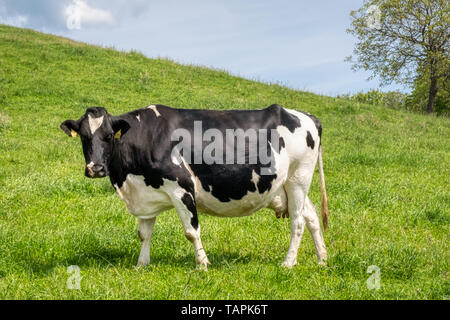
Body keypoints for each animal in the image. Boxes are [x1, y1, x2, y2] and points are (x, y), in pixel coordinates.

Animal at [59, 104, 328, 268]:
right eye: (84, 137)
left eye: (108, 136)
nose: (95, 168)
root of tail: (307, 116)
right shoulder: (145, 194)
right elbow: (144, 233)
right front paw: (141, 264)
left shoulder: (181, 187)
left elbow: (191, 231)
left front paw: (202, 264)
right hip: (288, 186)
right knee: (312, 215)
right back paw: (322, 259)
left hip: (298, 178)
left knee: (298, 221)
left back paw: (289, 263)